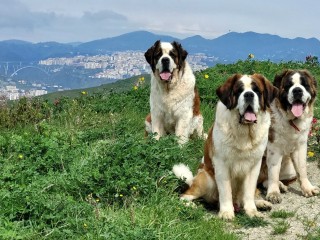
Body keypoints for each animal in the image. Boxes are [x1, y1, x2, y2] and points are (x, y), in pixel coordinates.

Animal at [172, 73, 278, 219]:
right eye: (239, 91)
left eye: (256, 90)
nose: (249, 94)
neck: (244, 133)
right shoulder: (221, 164)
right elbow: (225, 190)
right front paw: (226, 213)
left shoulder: (254, 166)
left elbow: (249, 192)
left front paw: (252, 211)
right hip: (206, 179)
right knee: (185, 195)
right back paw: (191, 206)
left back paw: (261, 203)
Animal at [262, 69, 318, 202]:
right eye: (288, 85)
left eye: (305, 85)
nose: (297, 90)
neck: (291, 120)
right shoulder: (274, 148)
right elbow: (273, 171)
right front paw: (273, 193)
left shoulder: (300, 146)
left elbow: (302, 169)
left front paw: (307, 188)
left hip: (290, 170)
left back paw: (281, 185)